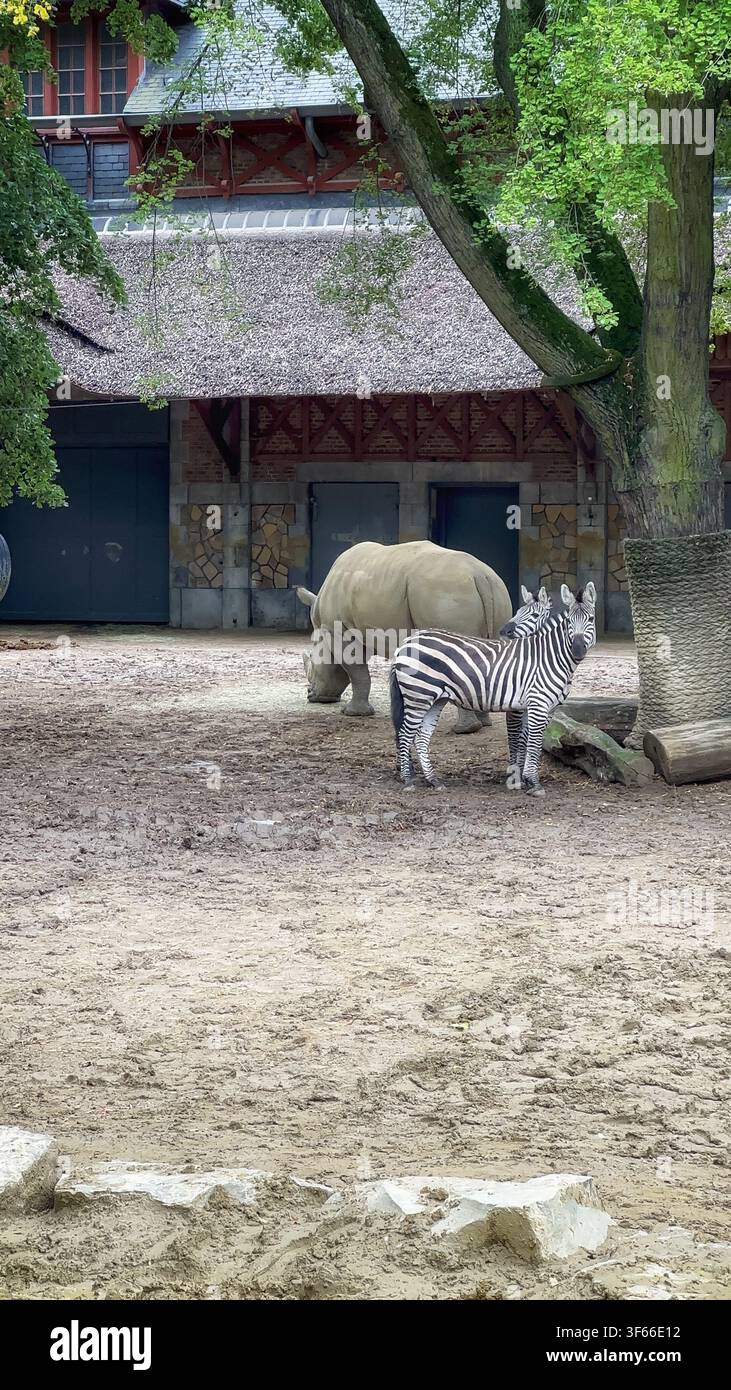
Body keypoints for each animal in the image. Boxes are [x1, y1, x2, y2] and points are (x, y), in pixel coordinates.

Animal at [390, 582, 596, 797]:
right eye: (569, 622)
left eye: (591, 619)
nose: (578, 650)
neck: (549, 656)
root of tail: (406, 643)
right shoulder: (537, 704)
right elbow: (531, 741)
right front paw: (530, 781)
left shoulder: (540, 707)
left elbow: (526, 740)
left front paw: (523, 778)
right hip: (419, 695)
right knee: (405, 733)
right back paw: (409, 780)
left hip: (435, 699)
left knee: (421, 737)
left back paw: (433, 780)